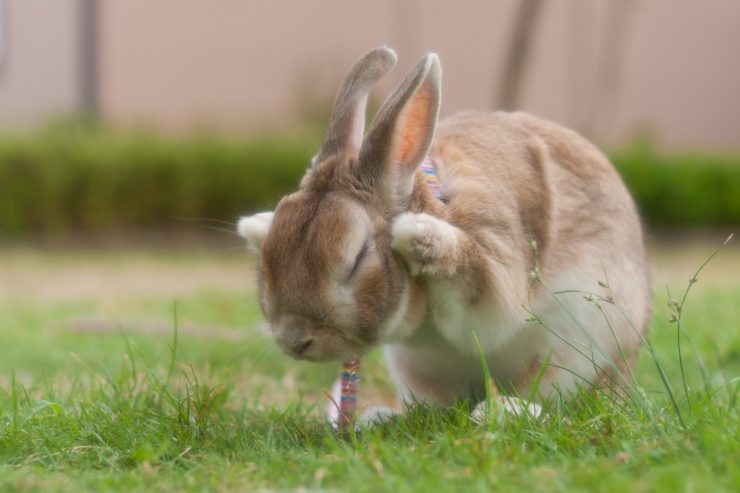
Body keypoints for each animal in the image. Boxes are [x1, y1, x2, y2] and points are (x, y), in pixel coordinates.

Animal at [236, 46, 648, 420]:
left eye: (356, 260)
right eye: (268, 257)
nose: (294, 339)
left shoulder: (496, 265)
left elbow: (483, 293)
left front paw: (415, 232)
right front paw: (254, 226)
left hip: (576, 348)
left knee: (554, 401)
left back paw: (506, 411)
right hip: (414, 368)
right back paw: (380, 417)